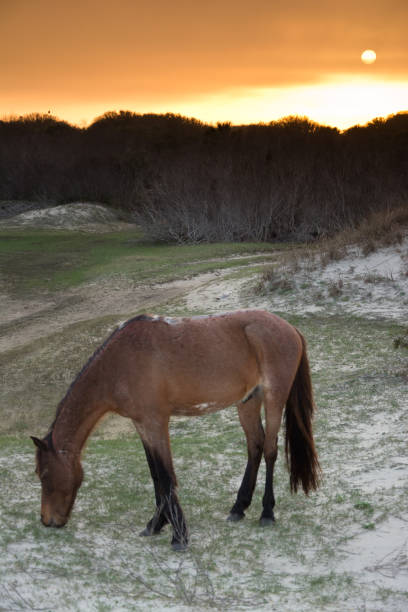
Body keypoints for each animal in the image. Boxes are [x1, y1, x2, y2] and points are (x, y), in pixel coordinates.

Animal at [31, 310, 318, 548]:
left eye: (44, 474)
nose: (47, 520)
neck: (120, 363)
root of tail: (290, 328)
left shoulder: (155, 422)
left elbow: (166, 476)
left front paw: (178, 536)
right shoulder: (142, 425)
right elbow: (156, 475)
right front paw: (156, 524)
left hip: (273, 398)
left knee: (269, 450)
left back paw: (267, 512)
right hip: (248, 401)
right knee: (255, 446)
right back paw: (238, 508)